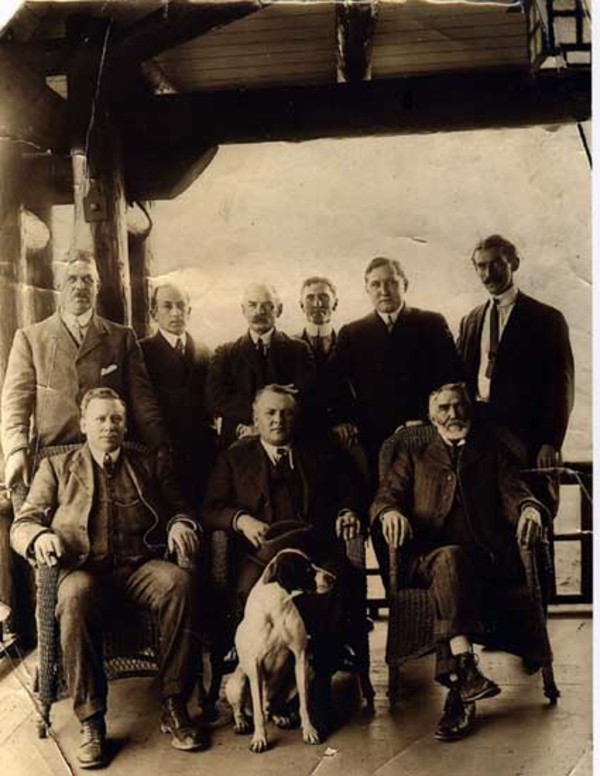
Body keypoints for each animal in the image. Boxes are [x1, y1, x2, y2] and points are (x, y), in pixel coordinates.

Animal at [226, 544, 338, 752]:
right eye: (307, 568)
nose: (333, 578)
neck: (276, 605)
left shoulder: (300, 656)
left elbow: (304, 705)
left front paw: (309, 731)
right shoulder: (255, 666)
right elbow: (258, 713)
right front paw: (259, 739)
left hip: (304, 674)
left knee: (274, 706)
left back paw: (281, 717)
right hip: (238, 682)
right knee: (246, 710)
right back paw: (242, 723)